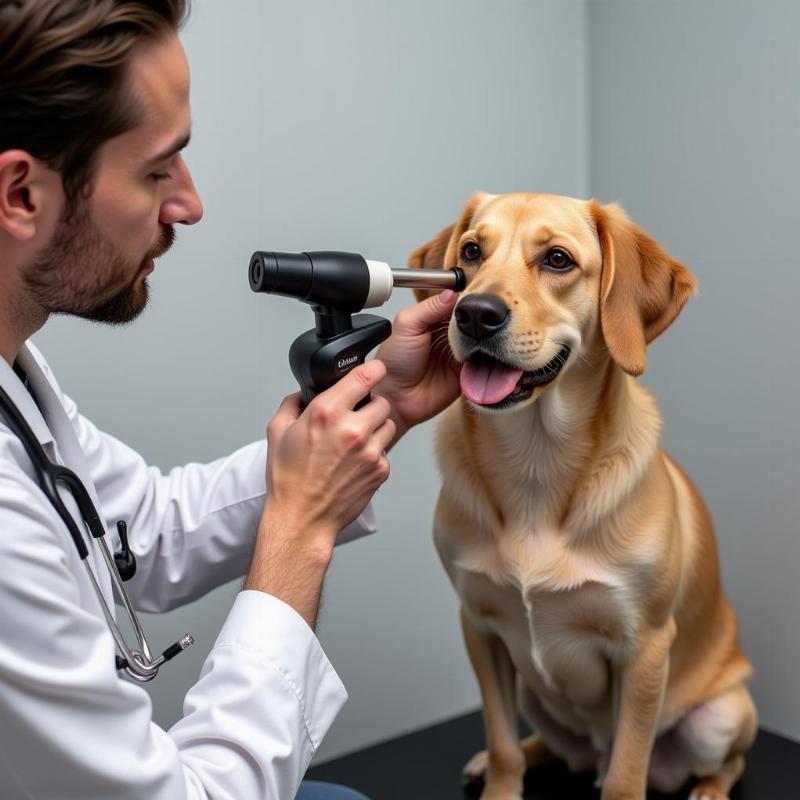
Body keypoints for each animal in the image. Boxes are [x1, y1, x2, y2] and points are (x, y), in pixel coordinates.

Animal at [412, 194, 756, 800]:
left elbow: (625, 772)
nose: (475, 313)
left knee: (724, 762)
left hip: (721, 717)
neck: (536, 464)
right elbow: (503, 743)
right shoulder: (479, 626)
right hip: (531, 691)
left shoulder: (644, 647)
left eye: (557, 259)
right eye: (472, 251)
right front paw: (499, 780)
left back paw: (709, 790)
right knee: (543, 745)